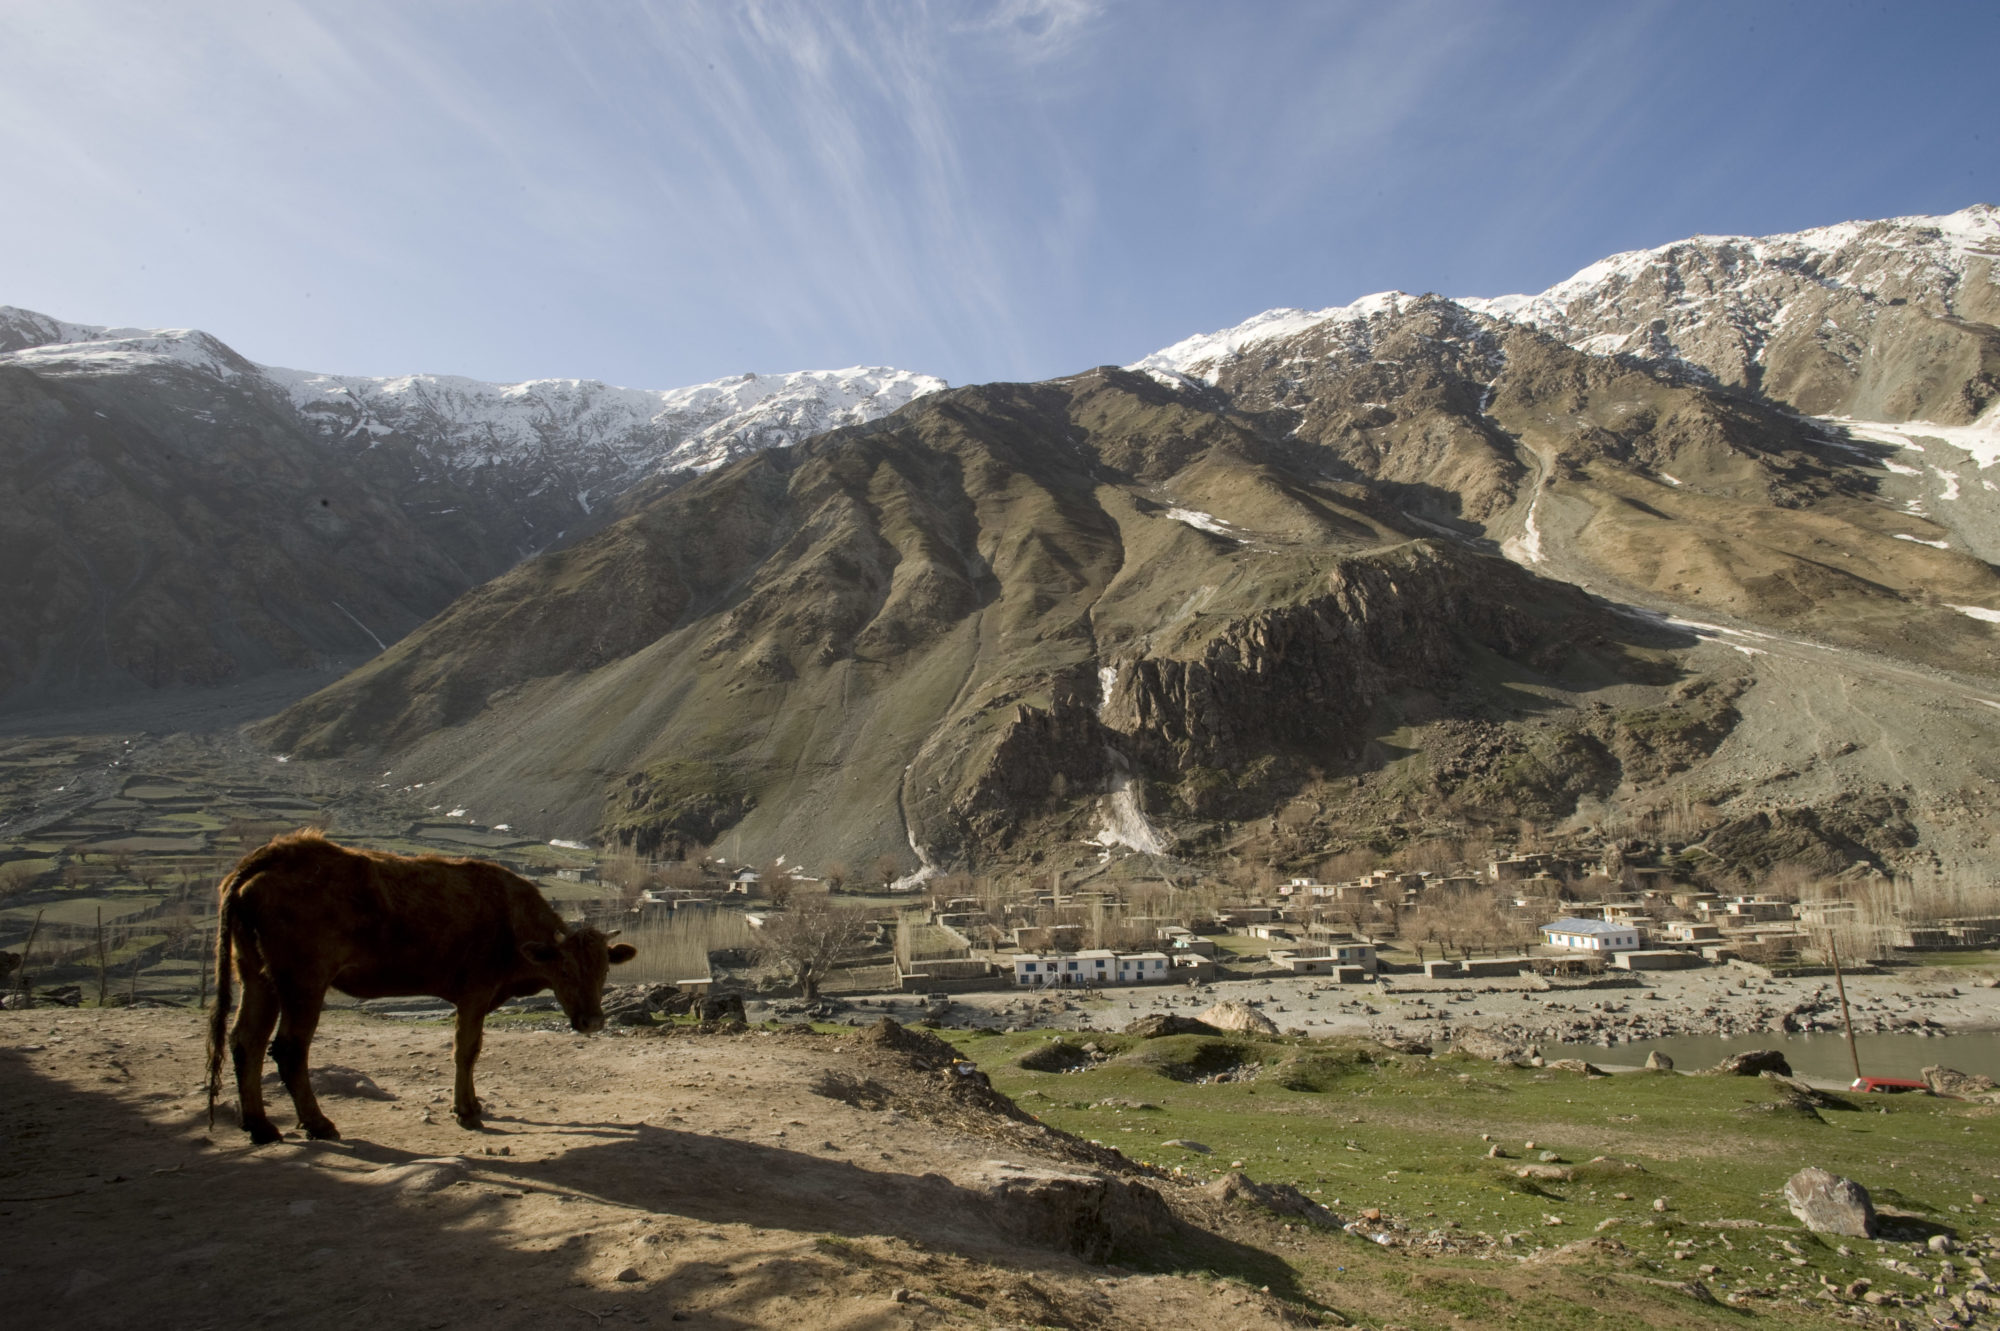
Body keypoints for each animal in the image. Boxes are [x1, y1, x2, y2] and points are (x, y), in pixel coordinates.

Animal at [203, 831, 632, 1143]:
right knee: (289, 1048)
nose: (593, 1022)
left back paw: (260, 1126)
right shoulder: (474, 992)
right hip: (303, 980)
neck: (510, 919)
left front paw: (471, 1105)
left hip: (256, 975)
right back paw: (318, 1123)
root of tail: (277, 852)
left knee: (246, 1041)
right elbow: (466, 1051)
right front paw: (467, 1111)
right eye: (564, 971)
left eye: (604, 972)